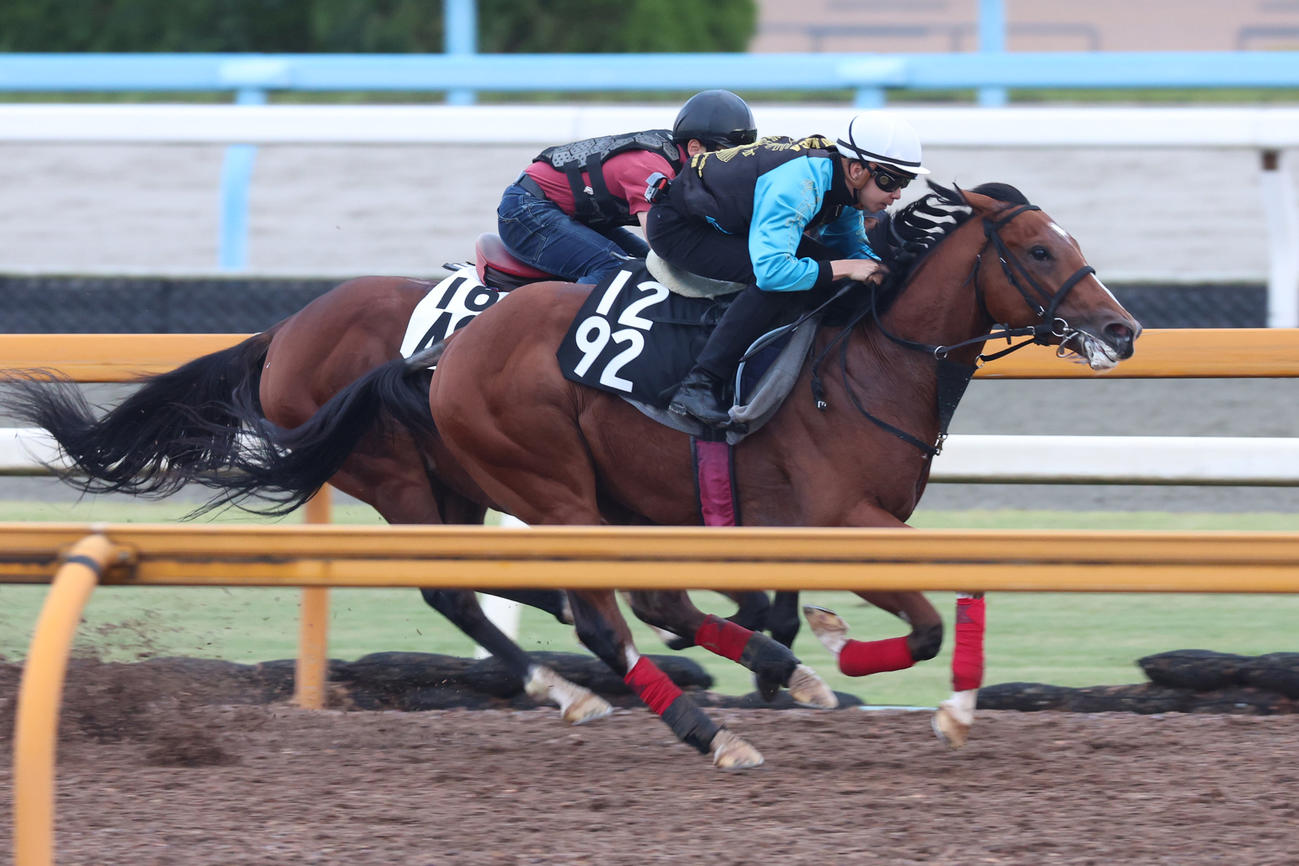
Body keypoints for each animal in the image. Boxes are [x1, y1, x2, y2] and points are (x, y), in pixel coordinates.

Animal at [164, 182, 1141, 768]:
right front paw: (843, 653)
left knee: (597, 597)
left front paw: (930, 699)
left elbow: (949, 593)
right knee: (545, 605)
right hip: (504, 485)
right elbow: (924, 623)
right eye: (1040, 251)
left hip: (506, 491)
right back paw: (682, 721)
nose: (1121, 330)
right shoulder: (838, 518)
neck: (863, 361)